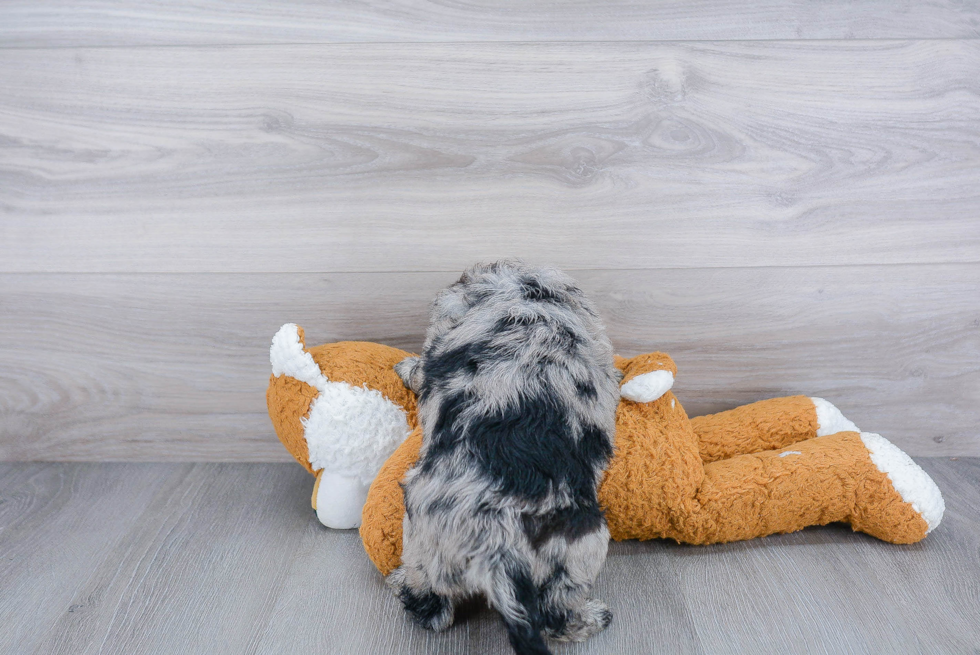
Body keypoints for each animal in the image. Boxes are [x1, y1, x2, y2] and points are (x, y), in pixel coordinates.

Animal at [390, 262, 620, 655]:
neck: (526, 303)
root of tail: (498, 546)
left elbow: (421, 367)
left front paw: (406, 367)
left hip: (422, 539)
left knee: (432, 609)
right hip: (580, 549)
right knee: (557, 614)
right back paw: (593, 617)